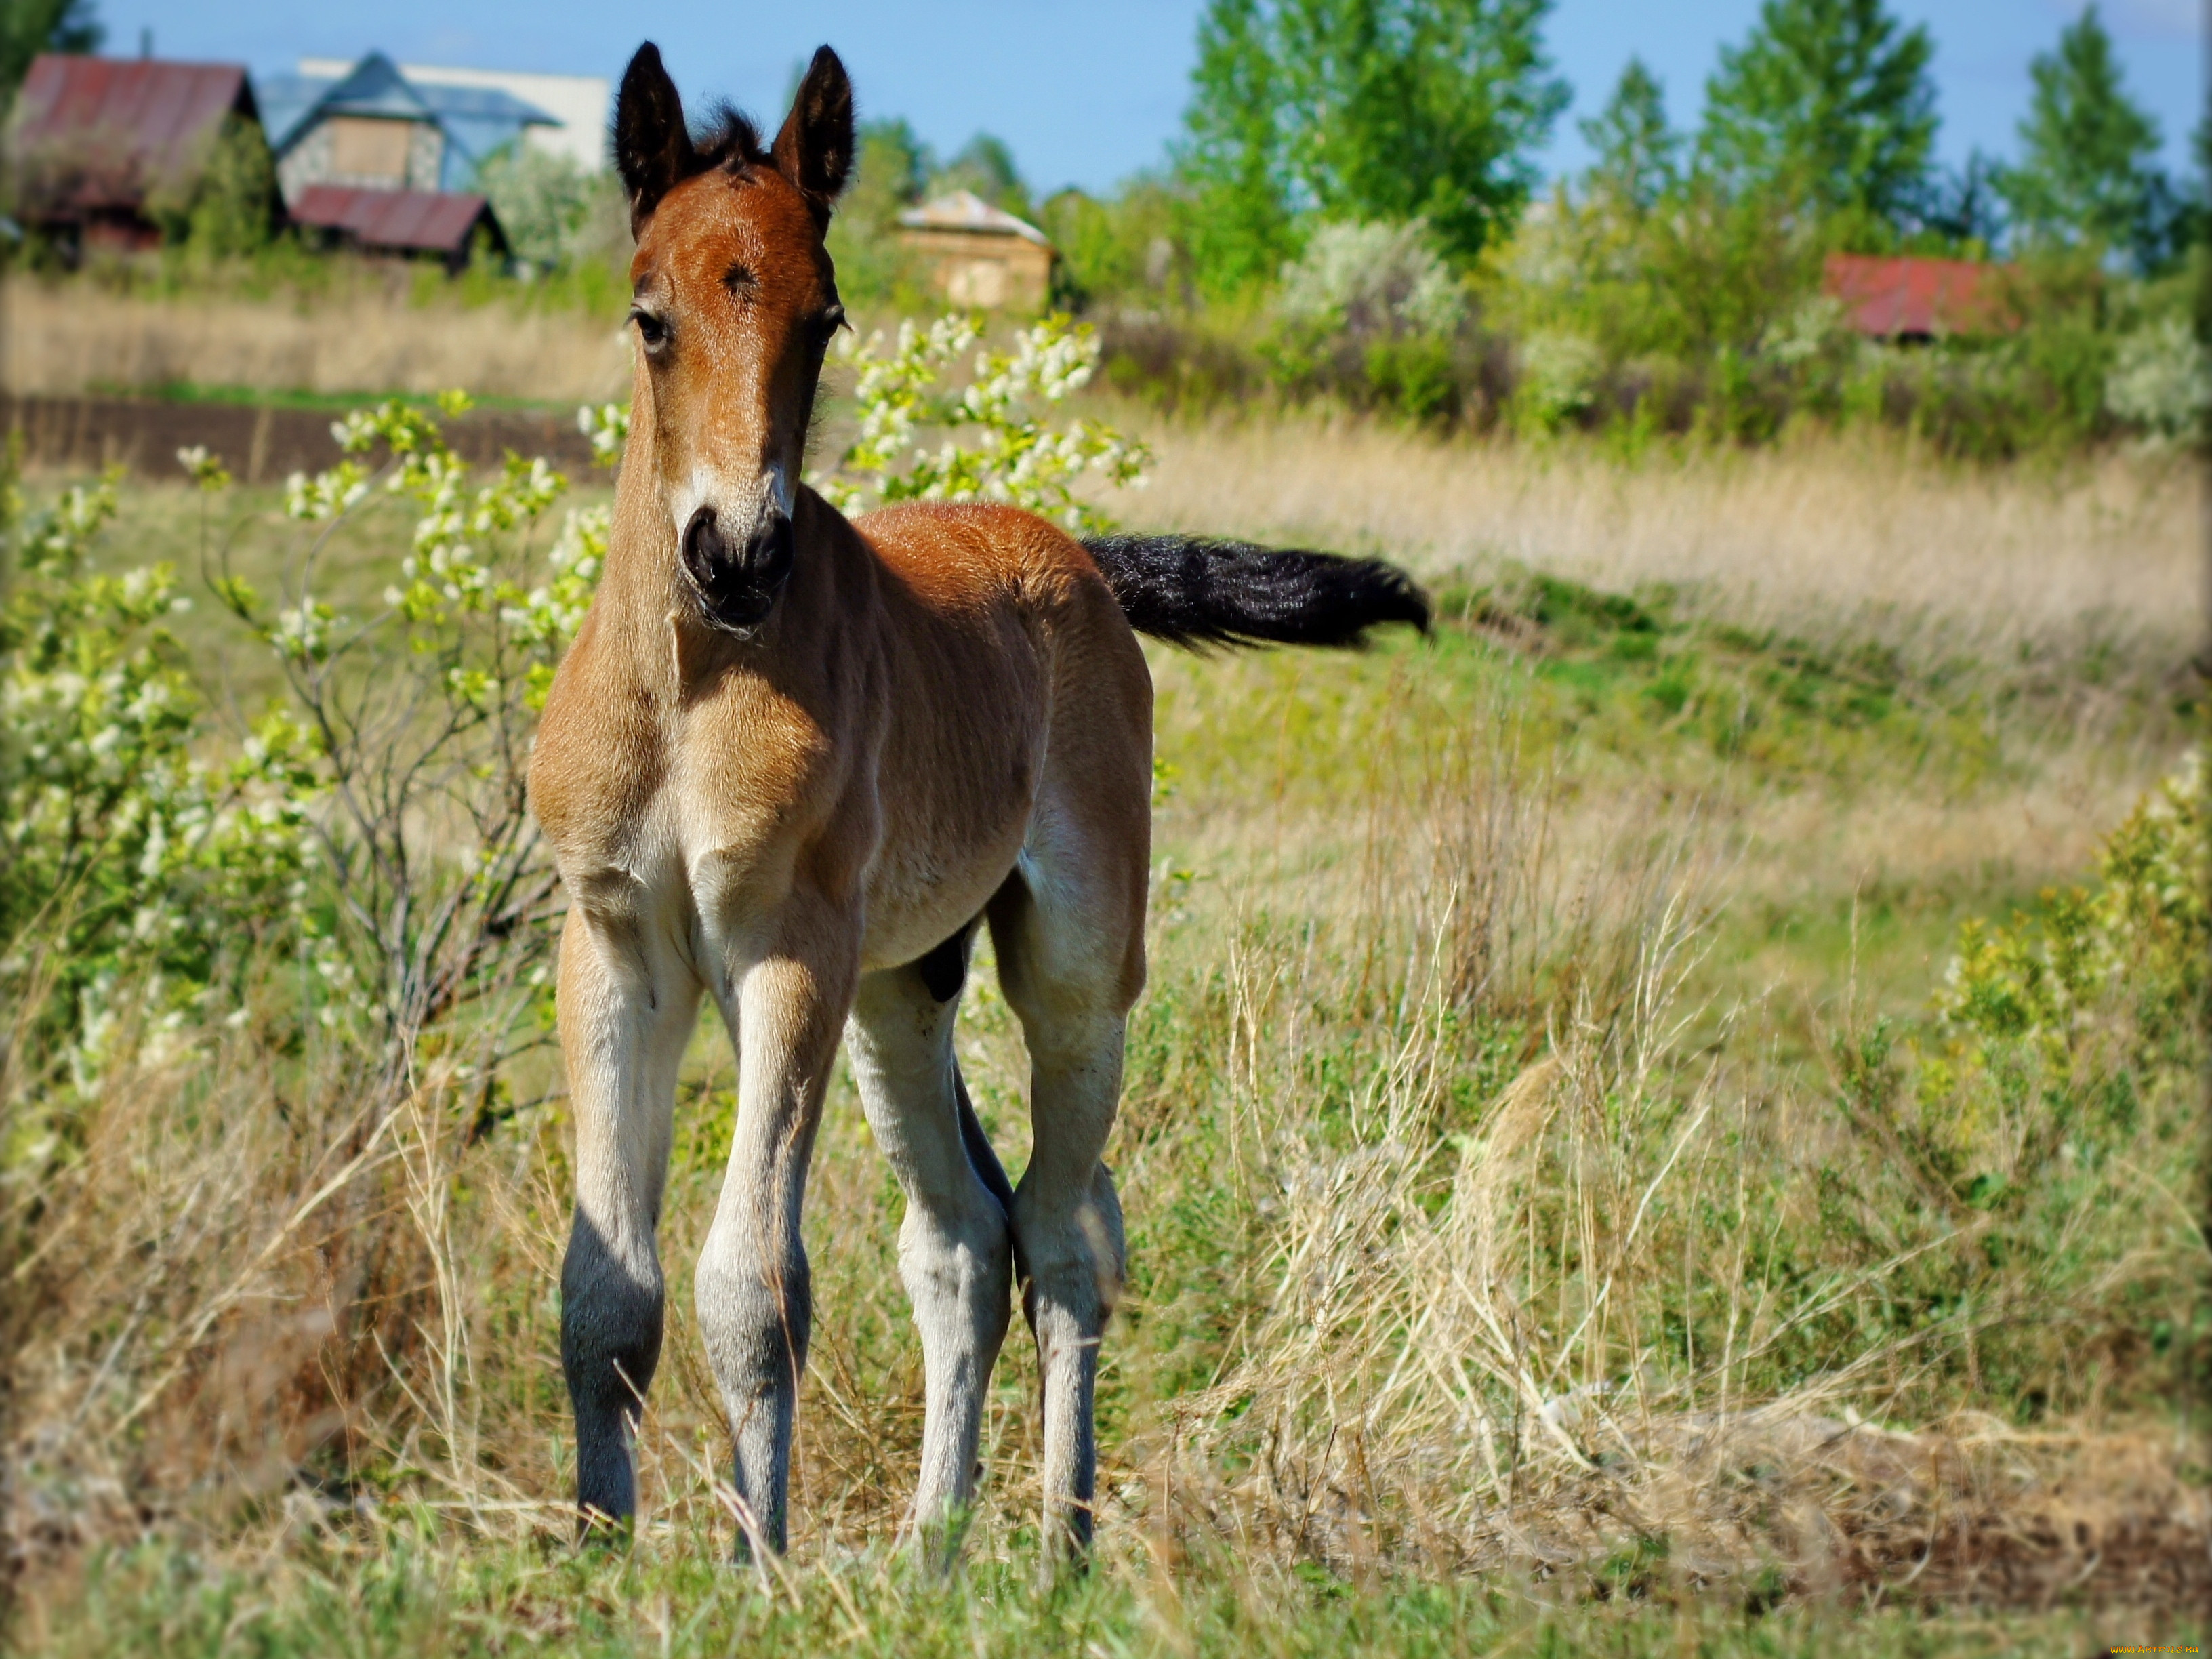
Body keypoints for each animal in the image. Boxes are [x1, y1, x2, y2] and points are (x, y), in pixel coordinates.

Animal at [533, 42, 1425, 1574]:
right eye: (650, 318)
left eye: (825, 319)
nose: (739, 555)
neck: (692, 686)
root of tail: (1077, 556)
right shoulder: (615, 951)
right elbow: (605, 1291)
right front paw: (597, 1561)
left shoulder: (787, 952)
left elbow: (750, 1286)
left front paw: (752, 1572)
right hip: (902, 990)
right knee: (963, 1236)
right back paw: (931, 1551)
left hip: (1069, 968)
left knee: (1066, 1232)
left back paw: (1060, 1548)